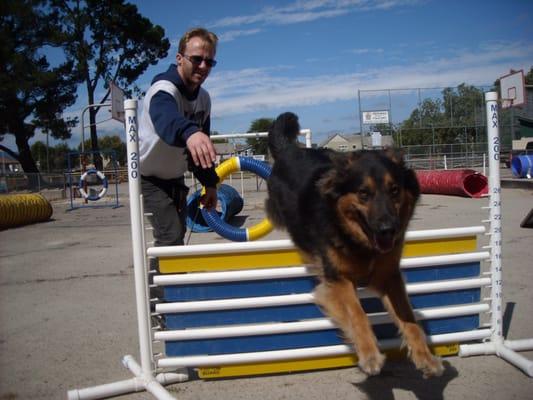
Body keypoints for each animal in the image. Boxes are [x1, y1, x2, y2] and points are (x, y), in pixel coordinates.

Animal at [264, 112, 442, 378]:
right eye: (363, 193)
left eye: (394, 190)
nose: (388, 229)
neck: (359, 241)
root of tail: (289, 149)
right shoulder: (338, 279)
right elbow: (357, 313)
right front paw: (369, 355)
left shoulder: (390, 275)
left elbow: (408, 317)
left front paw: (425, 357)